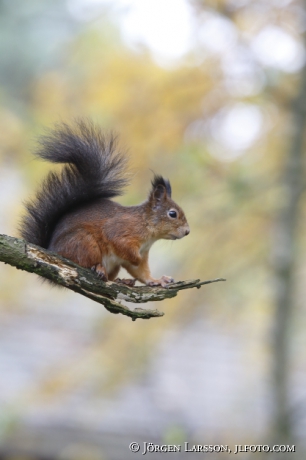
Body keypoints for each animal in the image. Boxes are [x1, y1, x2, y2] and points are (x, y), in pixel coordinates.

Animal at [20, 120, 190, 290]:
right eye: (172, 214)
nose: (187, 231)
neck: (146, 225)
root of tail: (51, 250)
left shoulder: (143, 251)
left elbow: (142, 272)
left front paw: (157, 280)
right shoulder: (121, 230)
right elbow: (120, 245)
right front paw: (135, 259)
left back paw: (121, 280)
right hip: (84, 242)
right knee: (81, 263)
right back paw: (98, 268)